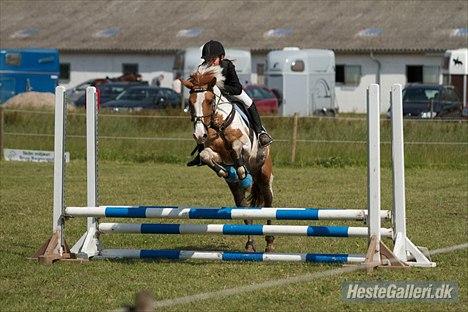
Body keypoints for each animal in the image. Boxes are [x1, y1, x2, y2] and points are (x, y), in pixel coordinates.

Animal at [178, 66, 274, 254]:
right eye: (190, 103)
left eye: (209, 101)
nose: (199, 134)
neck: (217, 123)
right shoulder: (215, 153)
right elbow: (205, 156)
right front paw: (225, 171)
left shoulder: (244, 145)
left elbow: (236, 147)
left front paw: (241, 170)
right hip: (236, 190)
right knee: (244, 209)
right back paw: (250, 244)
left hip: (264, 173)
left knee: (268, 203)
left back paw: (269, 242)